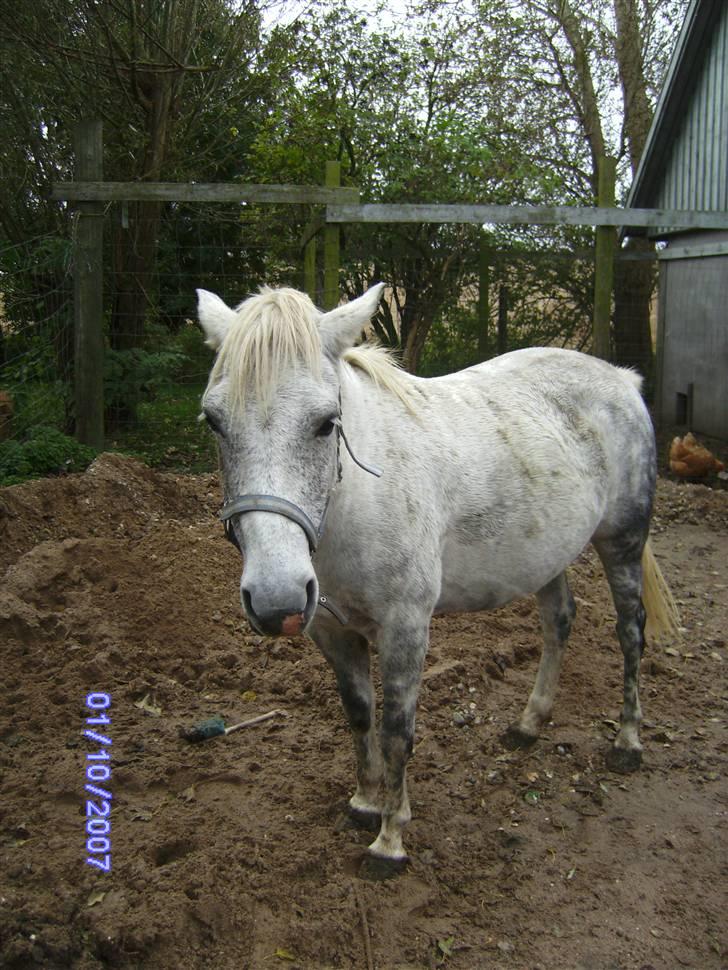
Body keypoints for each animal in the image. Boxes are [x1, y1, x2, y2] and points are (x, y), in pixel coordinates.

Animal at [198, 282, 676, 876]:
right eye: (214, 422)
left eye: (327, 421)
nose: (274, 598)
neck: (359, 498)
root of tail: (622, 380)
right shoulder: (333, 632)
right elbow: (359, 715)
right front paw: (366, 802)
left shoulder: (406, 628)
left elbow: (396, 730)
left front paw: (389, 840)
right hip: (546, 554)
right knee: (559, 621)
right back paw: (529, 723)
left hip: (623, 543)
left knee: (630, 633)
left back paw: (628, 742)